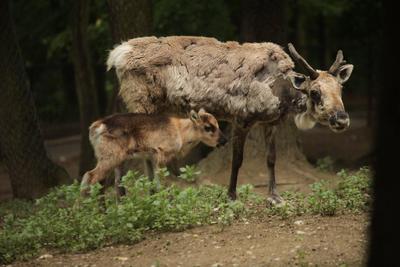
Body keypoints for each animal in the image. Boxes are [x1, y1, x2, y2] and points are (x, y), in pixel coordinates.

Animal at [79, 109, 227, 197]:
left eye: (218, 124)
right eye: (208, 127)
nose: (224, 140)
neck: (181, 132)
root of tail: (95, 127)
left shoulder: (148, 157)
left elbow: (150, 182)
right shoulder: (161, 155)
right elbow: (161, 181)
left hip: (118, 160)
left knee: (114, 184)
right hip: (110, 158)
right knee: (89, 177)